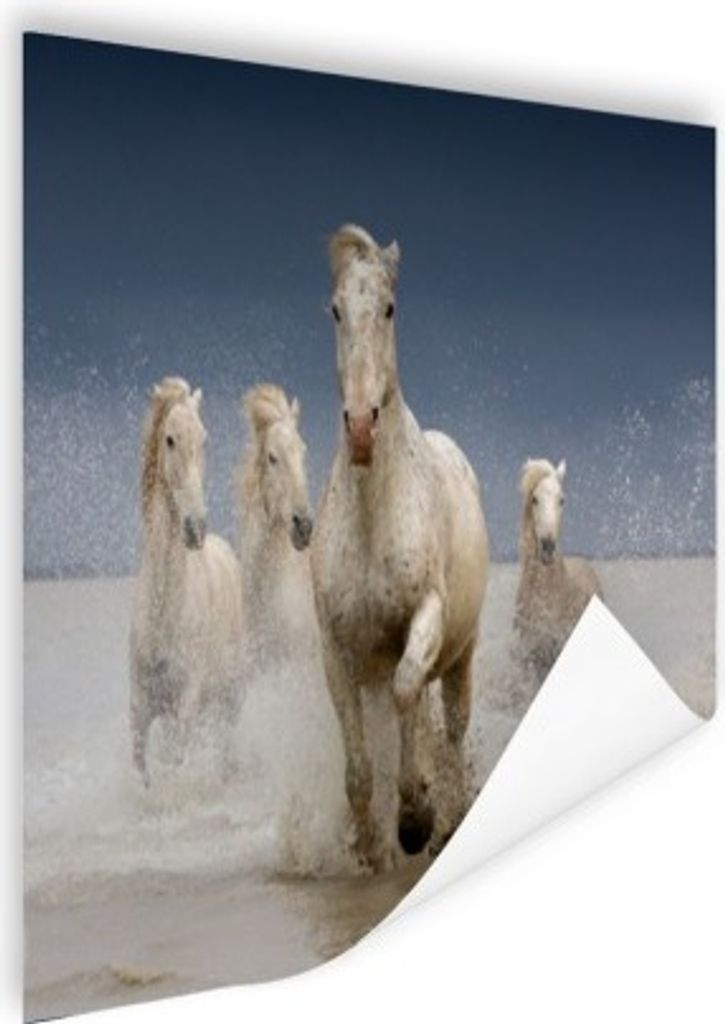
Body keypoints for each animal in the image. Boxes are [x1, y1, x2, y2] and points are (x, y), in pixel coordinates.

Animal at [129, 377, 244, 785]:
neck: (165, 611)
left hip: (229, 700)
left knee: (226, 750)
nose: (195, 529)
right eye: (170, 439)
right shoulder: (141, 708)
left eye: (204, 439)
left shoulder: (186, 705)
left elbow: (176, 767)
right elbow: (143, 770)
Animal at [311, 224, 489, 869]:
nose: (362, 426)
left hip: (461, 655)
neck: (373, 514)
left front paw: (414, 819)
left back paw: (445, 815)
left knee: (448, 724)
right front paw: (365, 844)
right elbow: (359, 769)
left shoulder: (425, 617)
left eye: (389, 308)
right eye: (336, 309)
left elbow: (409, 691)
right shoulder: (337, 650)